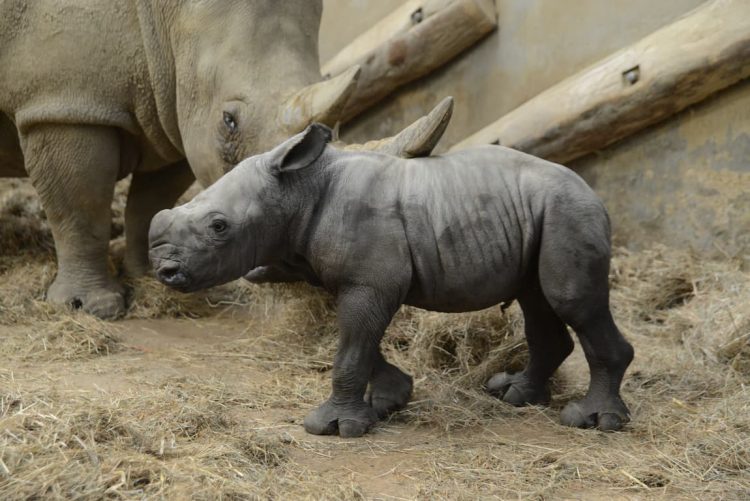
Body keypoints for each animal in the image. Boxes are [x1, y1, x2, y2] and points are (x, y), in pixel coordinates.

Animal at [0, 0, 452, 318]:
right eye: (229, 121)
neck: (162, 17)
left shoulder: (171, 111)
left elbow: (149, 202)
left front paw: (150, 273)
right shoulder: (62, 103)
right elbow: (80, 206)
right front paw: (86, 309)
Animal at [148, 123, 635, 437]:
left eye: (219, 227)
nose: (165, 271)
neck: (297, 188)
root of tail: (595, 194)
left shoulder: (369, 282)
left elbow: (351, 348)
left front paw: (334, 428)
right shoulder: (356, 280)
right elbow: (357, 342)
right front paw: (389, 401)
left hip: (569, 211)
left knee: (571, 300)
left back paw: (592, 422)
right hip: (543, 213)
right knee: (536, 300)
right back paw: (513, 395)